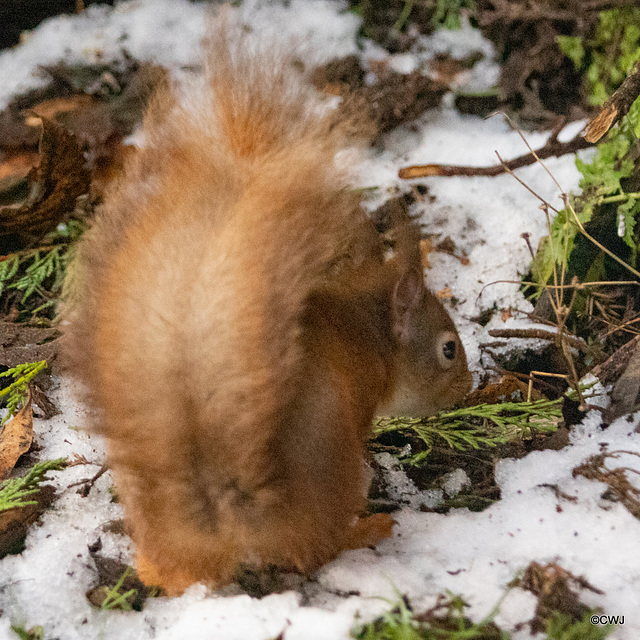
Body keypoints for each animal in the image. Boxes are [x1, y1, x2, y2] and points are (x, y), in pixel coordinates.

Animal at [62, 20, 472, 596]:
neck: (364, 325)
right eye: (449, 350)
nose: (470, 388)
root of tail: (229, 514)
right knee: (317, 549)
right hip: (334, 468)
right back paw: (369, 528)